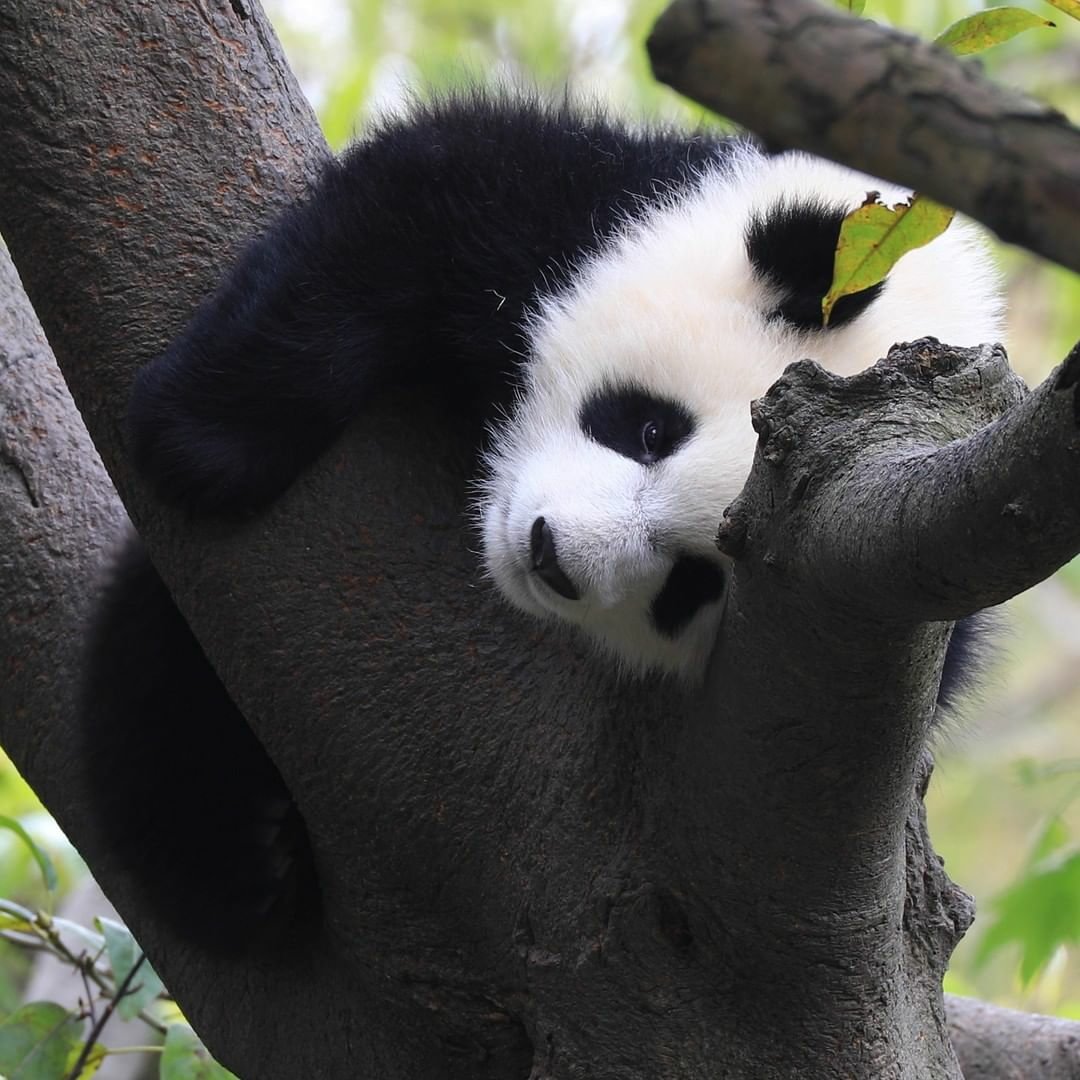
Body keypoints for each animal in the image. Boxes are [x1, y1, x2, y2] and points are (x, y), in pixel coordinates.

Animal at [80, 91, 1003, 950]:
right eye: (649, 430)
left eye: (695, 583)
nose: (552, 556)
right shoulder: (599, 206)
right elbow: (413, 204)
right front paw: (202, 438)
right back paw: (226, 854)